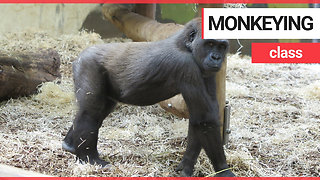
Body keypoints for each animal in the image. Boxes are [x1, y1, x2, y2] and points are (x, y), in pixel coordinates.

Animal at [62, 17, 234, 177]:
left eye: (222, 46)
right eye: (210, 44)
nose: (216, 58)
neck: (185, 44)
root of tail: (80, 56)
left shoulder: (207, 72)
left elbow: (199, 119)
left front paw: (185, 167)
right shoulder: (186, 66)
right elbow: (205, 119)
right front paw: (224, 170)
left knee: (101, 110)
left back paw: (70, 145)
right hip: (87, 65)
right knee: (90, 112)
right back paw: (89, 158)